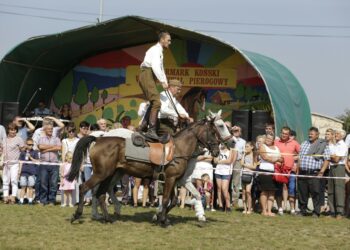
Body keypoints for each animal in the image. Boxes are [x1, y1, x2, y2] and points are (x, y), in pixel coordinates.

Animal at [68, 117, 221, 225]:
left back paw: (107, 218)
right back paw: (77, 215)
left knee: (100, 194)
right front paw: (162, 220)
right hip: (101, 174)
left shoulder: (173, 179)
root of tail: (98, 139)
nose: (217, 152)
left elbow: (173, 201)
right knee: (84, 187)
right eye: (213, 132)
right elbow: (166, 199)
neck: (178, 149)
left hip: (109, 174)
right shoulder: (171, 179)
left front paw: (160, 217)